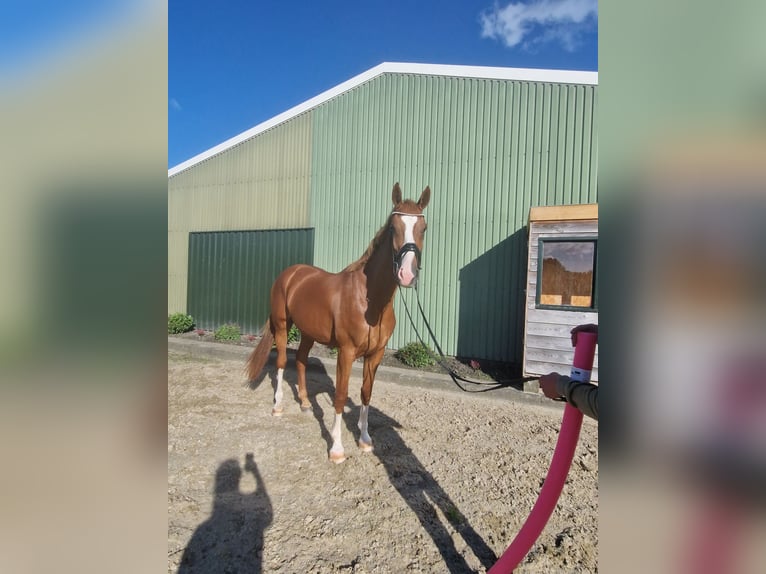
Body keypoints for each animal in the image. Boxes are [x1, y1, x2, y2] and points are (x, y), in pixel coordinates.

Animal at [248, 184, 432, 464]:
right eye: (393, 227)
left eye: (423, 228)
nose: (407, 275)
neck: (370, 300)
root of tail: (290, 274)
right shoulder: (346, 352)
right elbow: (341, 395)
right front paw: (336, 448)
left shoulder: (375, 354)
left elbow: (366, 393)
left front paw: (365, 440)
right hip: (282, 325)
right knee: (280, 362)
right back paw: (278, 406)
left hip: (308, 333)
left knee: (300, 359)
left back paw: (304, 403)